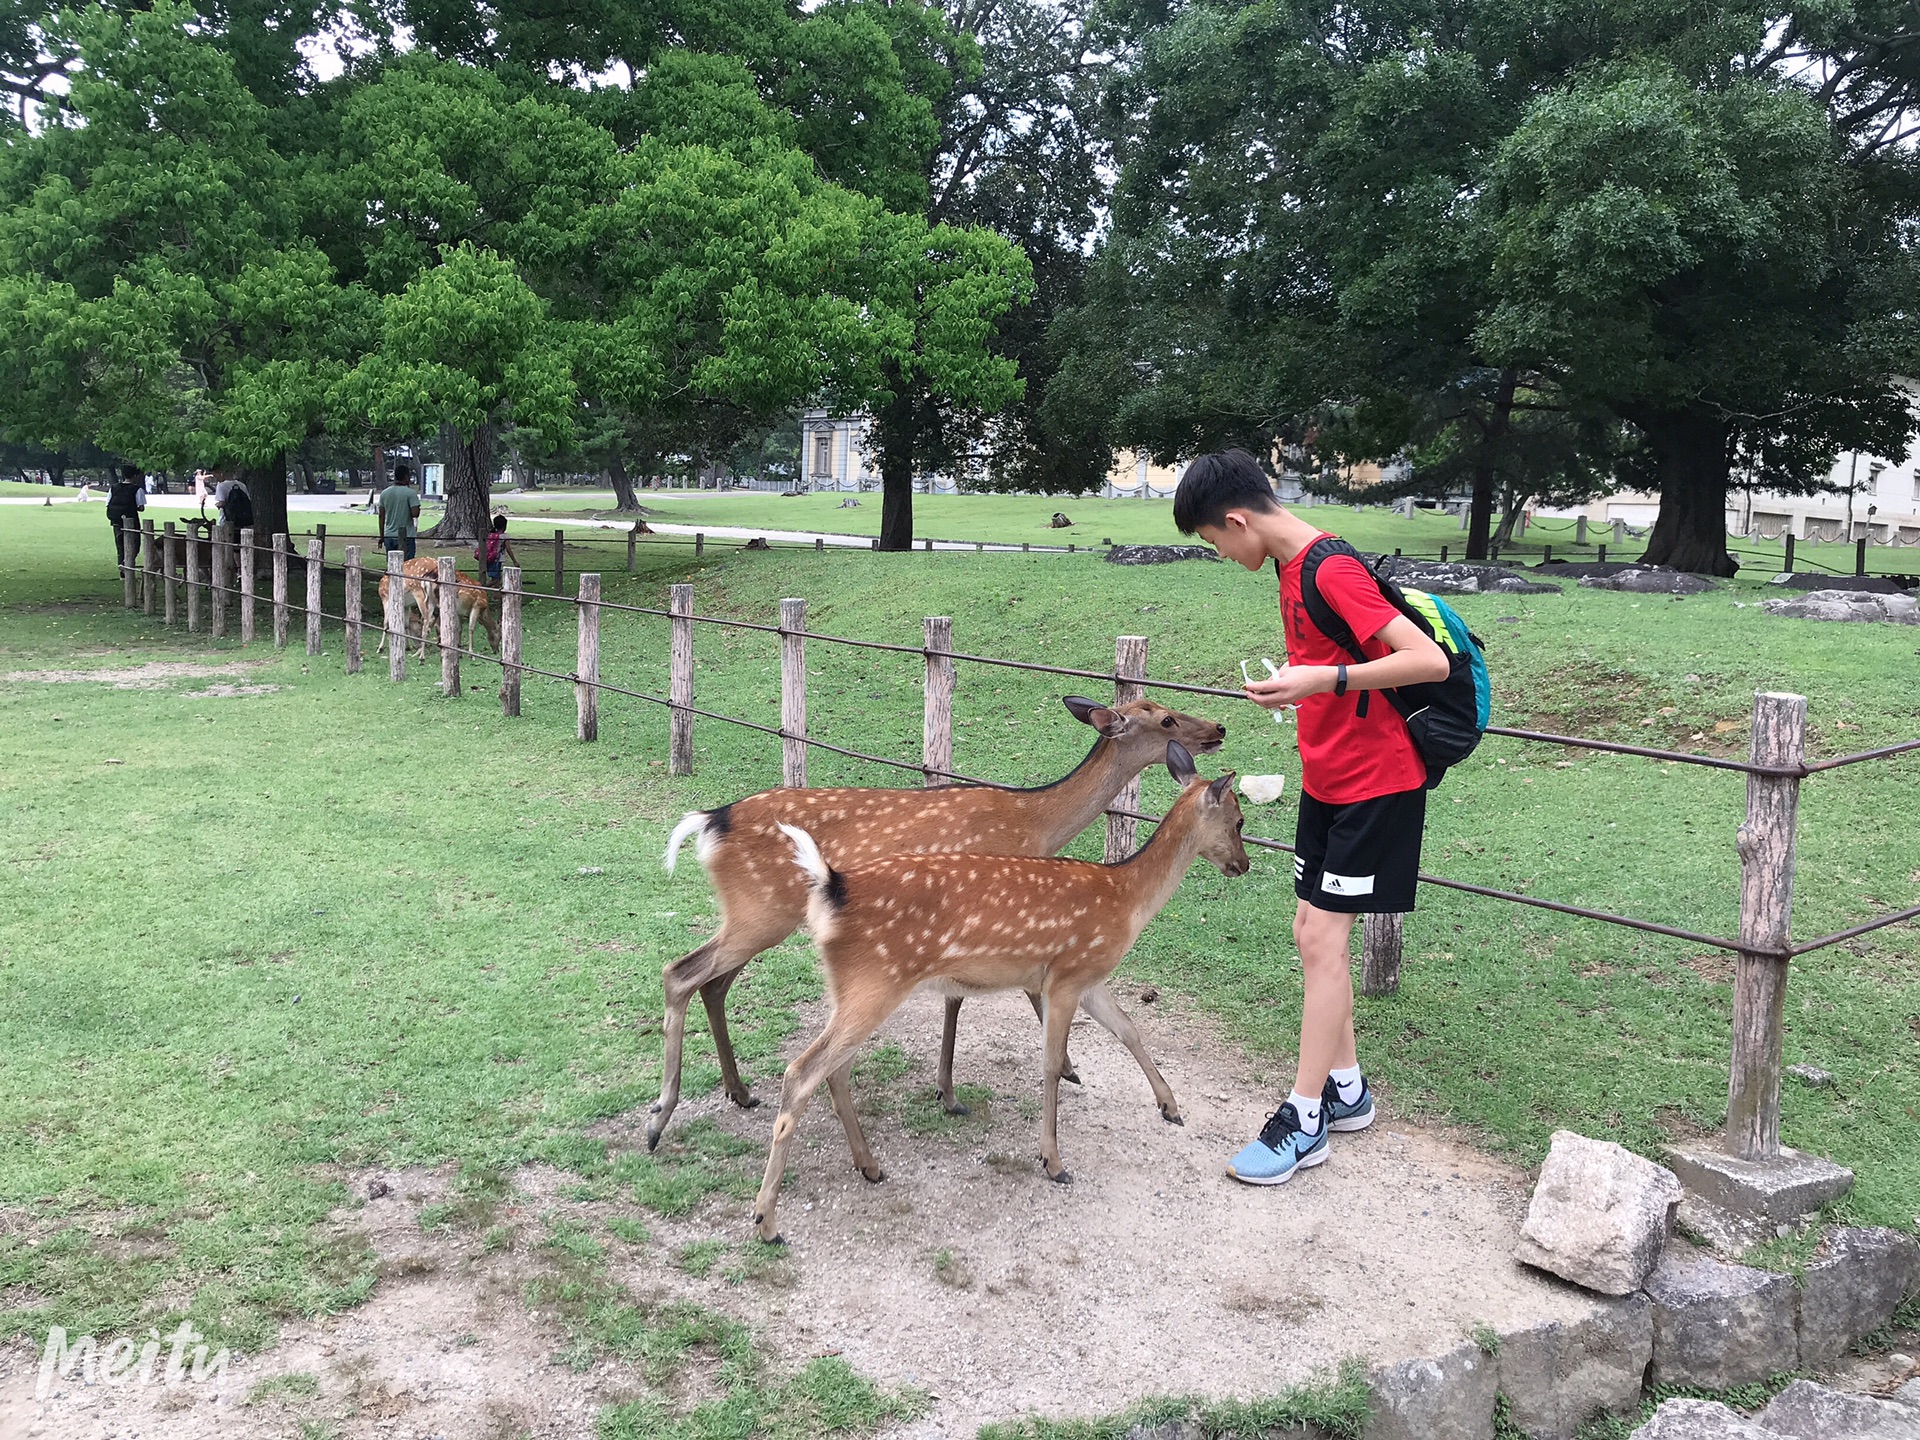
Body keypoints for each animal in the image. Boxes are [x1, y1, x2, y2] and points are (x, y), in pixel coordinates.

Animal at [656, 695, 1228, 1159]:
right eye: (1166, 718)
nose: (1219, 728)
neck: (1035, 824)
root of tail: (709, 821)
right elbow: (998, 998)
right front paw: (999, 1082)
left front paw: (961, 1087)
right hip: (761, 913)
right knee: (683, 973)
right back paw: (662, 1115)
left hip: (755, 917)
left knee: (713, 983)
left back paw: (739, 1091)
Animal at [756, 744, 1251, 1244]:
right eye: (1239, 819)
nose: (1244, 865)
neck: (1126, 901)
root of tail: (830, 887)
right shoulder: (1067, 975)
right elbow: (1051, 1064)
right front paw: (1053, 1161)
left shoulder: (1088, 978)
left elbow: (1128, 1029)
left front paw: (1170, 1107)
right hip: (875, 983)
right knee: (801, 1072)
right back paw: (767, 1221)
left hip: (852, 987)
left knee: (835, 1070)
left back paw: (869, 1166)